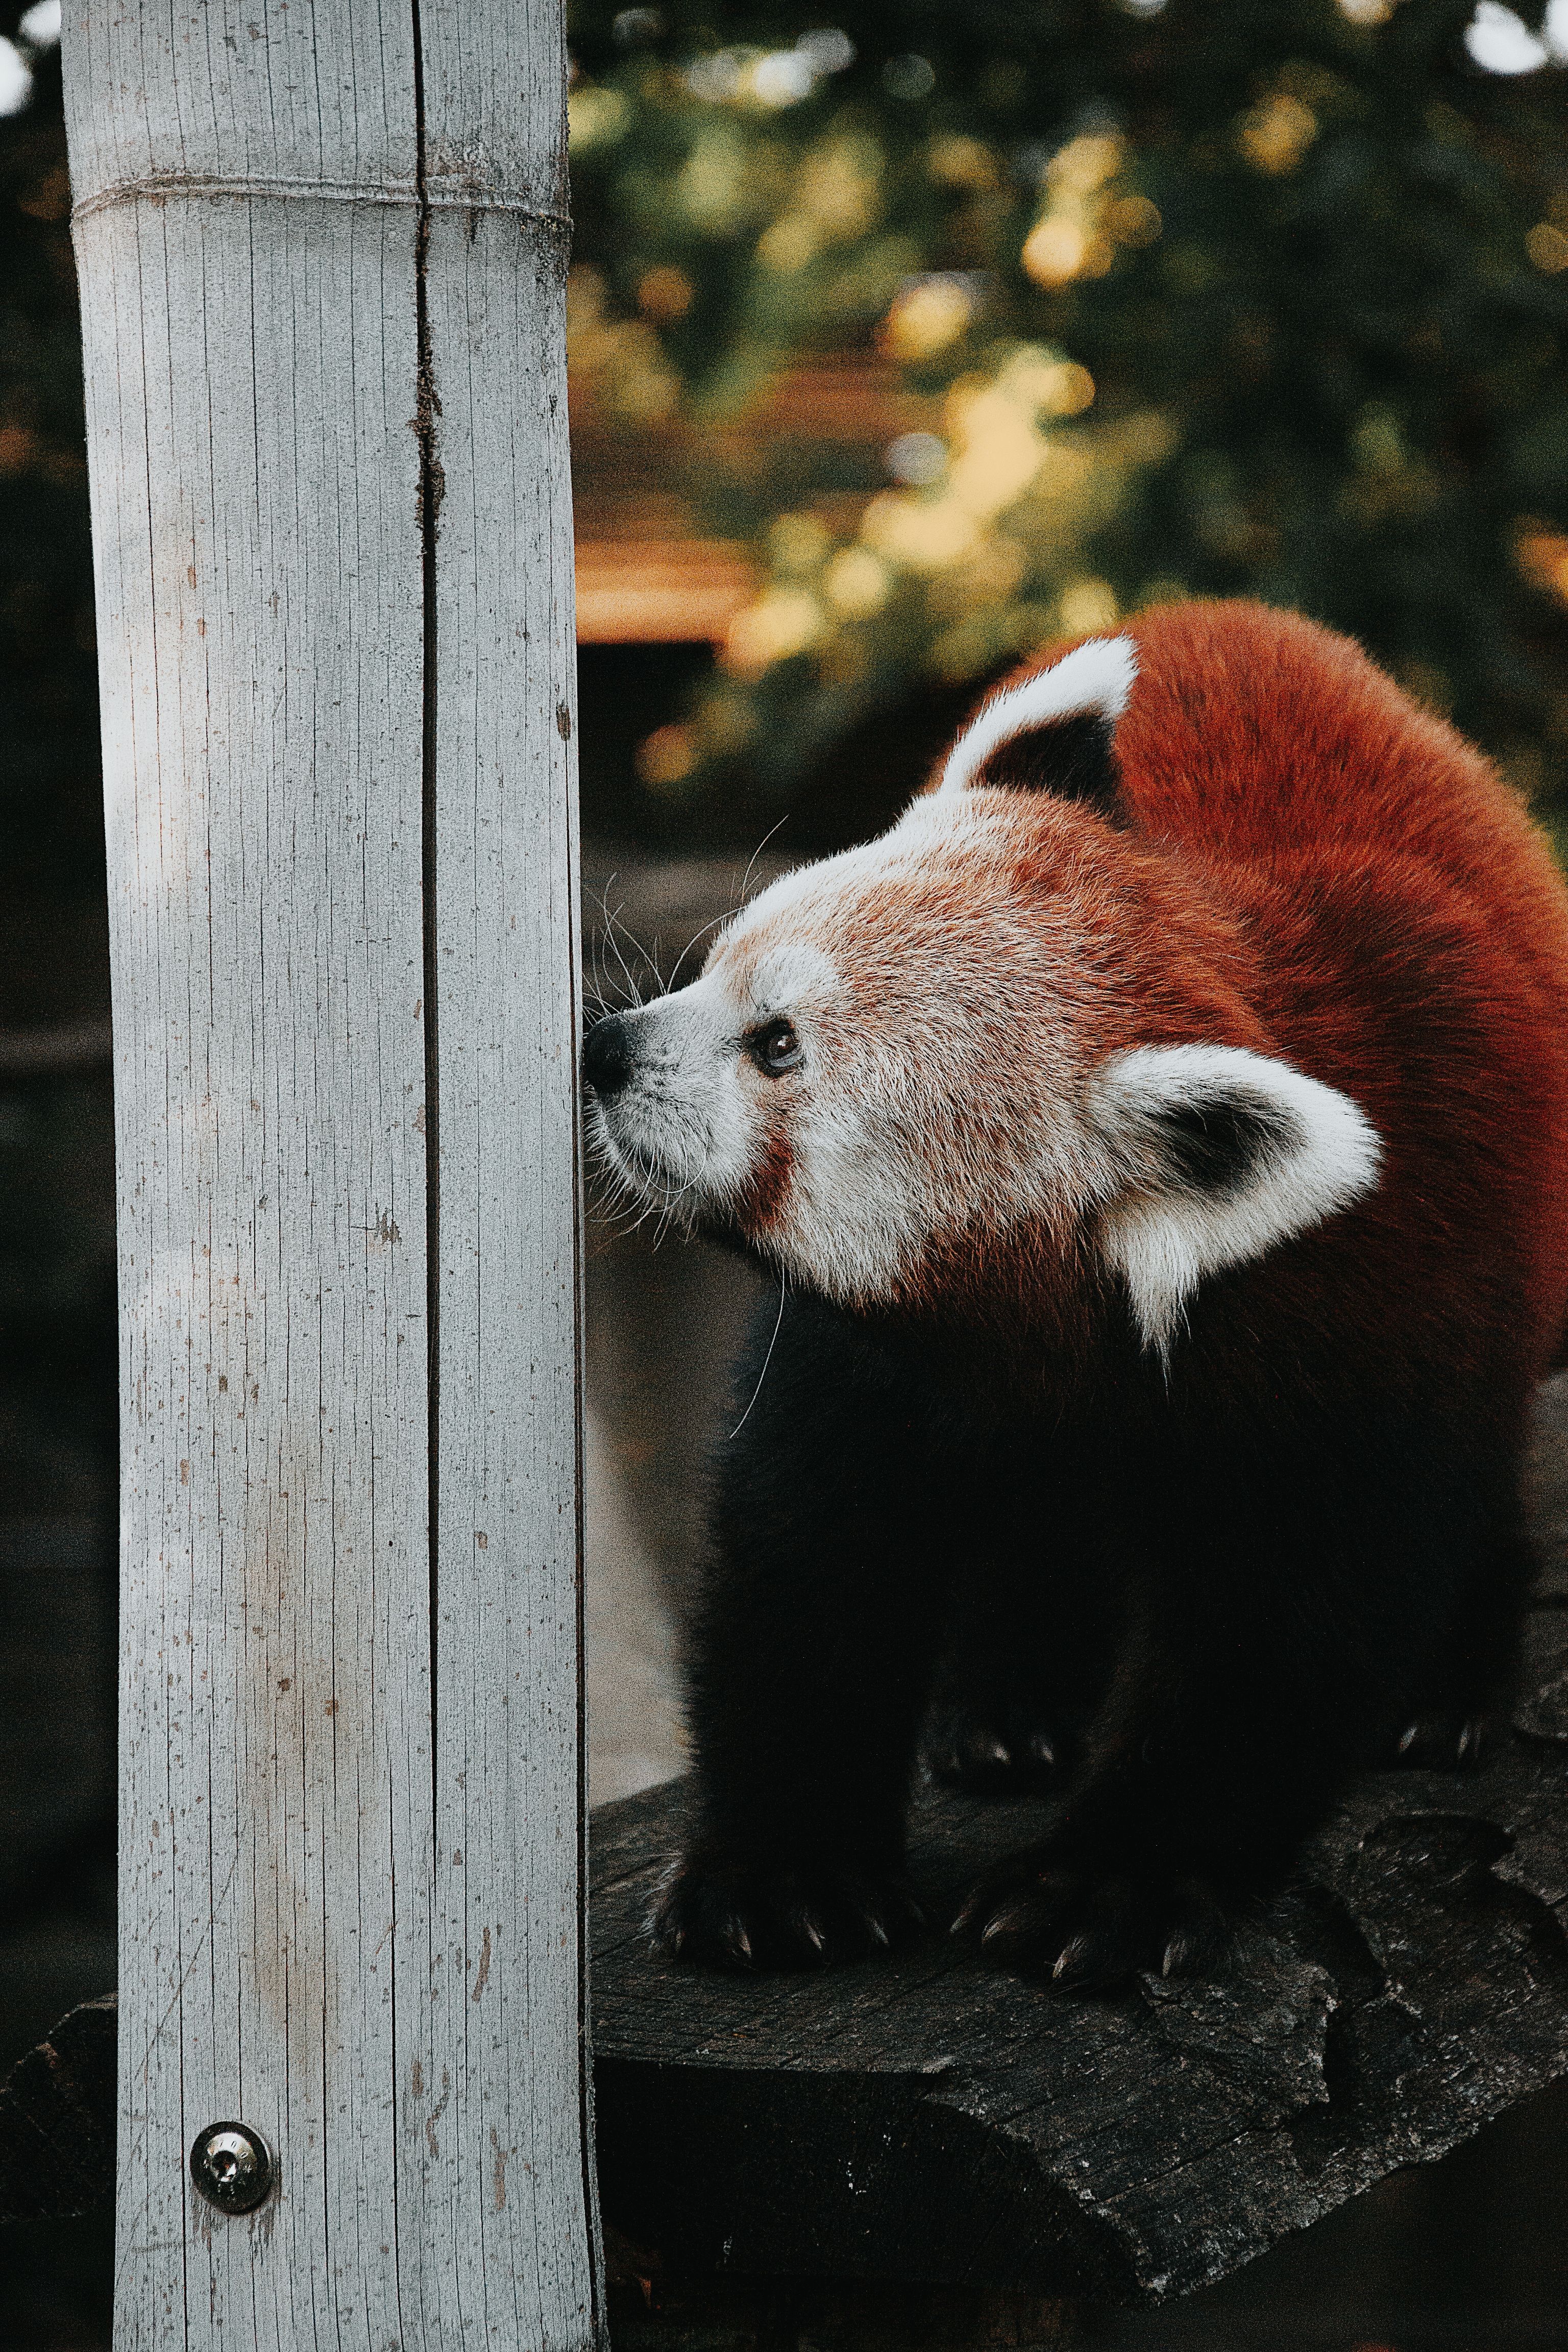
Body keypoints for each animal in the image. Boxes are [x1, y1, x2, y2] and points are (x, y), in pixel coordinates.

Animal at [582, 599, 1568, 1988]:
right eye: (714, 969)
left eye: (777, 1046)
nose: (604, 1052)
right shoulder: (872, 1360)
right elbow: (811, 1556)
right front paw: (785, 1874)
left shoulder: (1382, 1299)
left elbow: (1293, 1619)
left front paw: (1111, 1880)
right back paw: (1010, 1696)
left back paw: (1447, 1686)